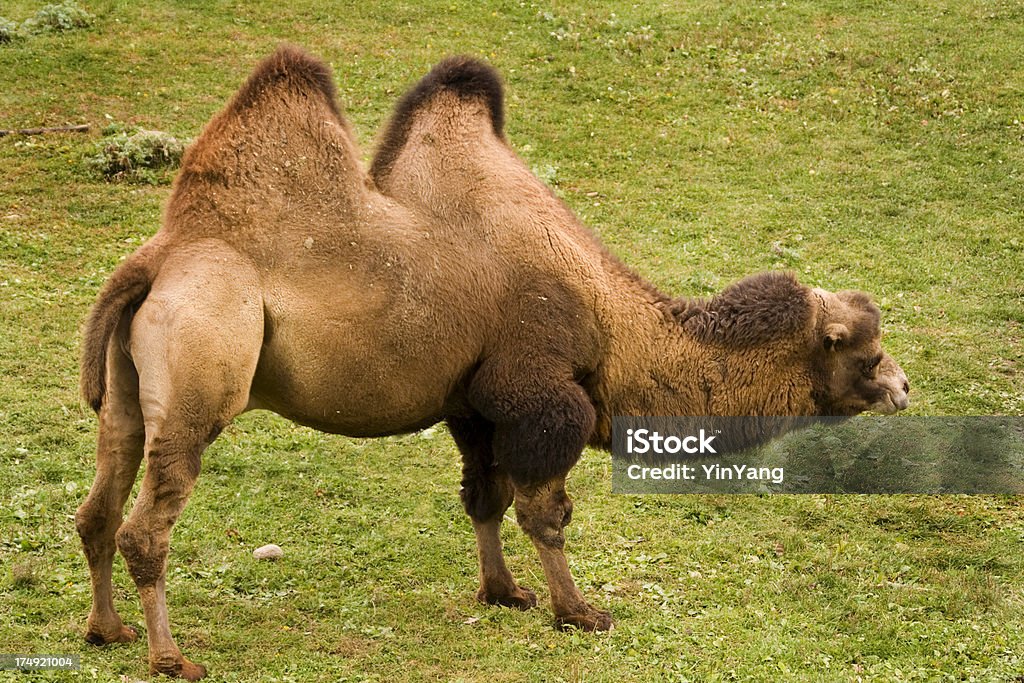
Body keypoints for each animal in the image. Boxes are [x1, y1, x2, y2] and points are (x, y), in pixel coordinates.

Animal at [77, 46, 913, 679]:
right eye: (867, 352)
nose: (904, 387)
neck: (615, 327)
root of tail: (158, 258)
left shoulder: (474, 402)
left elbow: (483, 495)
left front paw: (503, 591)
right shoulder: (544, 393)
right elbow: (546, 511)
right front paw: (579, 611)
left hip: (127, 389)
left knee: (98, 506)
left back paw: (108, 630)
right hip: (202, 363)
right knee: (147, 525)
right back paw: (170, 657)